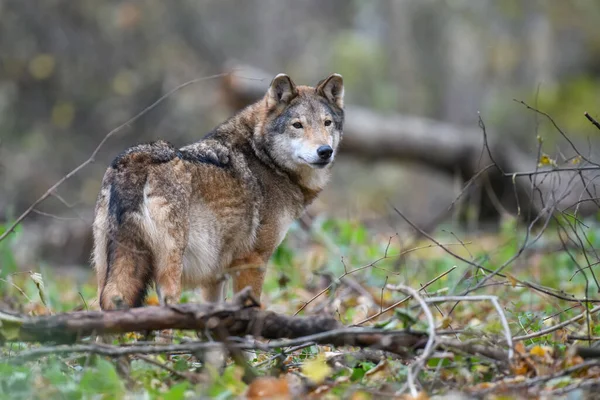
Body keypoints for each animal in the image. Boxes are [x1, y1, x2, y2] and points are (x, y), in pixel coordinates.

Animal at [92, 72, 344, 310]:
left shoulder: (215, 276)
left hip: (107, 271)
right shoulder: (252, 261)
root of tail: (135, 160)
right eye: (297, 125)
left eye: (327, 123)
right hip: (169, 268)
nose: (325, 151)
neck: (264, 157)